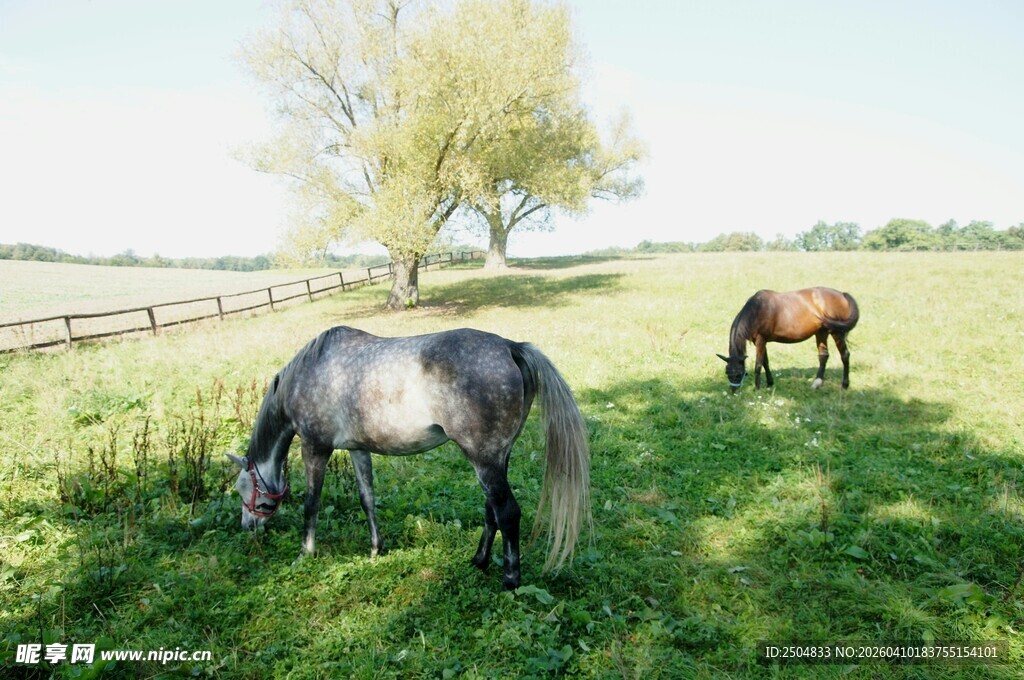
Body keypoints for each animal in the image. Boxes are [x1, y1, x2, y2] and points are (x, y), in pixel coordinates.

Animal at [225, 326, 590, 590]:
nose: (247, 527)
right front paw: (375, 549)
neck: (311, 372)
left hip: (484, 458)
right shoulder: (358, 449)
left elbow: (310, 504)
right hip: (497, 457)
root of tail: (511, 346)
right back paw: (479, 561)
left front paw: (305, 554)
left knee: (508, 513)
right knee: (493, 512)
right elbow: (367, 499)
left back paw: (511, 580)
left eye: (244, 488)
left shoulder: (315, 448)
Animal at [717, 287, 859, 392]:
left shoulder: (761, 340)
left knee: (845, 355)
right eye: (727, 372)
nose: (733, 391)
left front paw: (757, 389)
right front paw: (770, 383)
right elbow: (765, 362)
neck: (756, 311)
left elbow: (758, 365)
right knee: (823, 355)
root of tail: (842, 294)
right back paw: (817, 383)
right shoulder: (763, 342)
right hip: (821, 332)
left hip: (837, 332)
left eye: (738, 374)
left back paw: (844, 385)